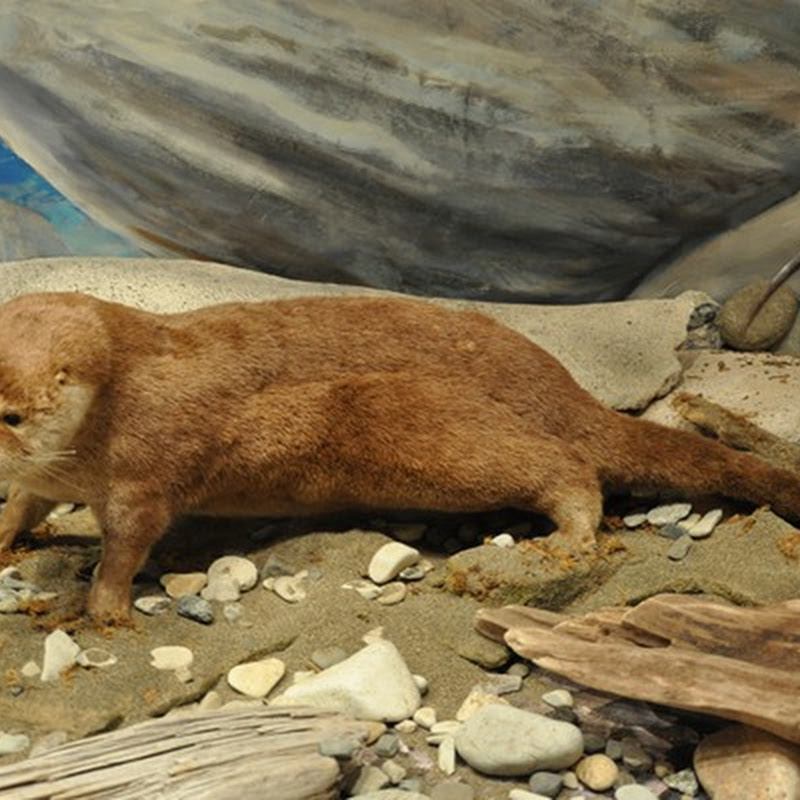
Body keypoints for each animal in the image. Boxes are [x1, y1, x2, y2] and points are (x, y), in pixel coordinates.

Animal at [0, 290, 792, 620]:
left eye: (9, 412)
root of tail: (563, 390)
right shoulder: (50, 477)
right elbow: (26, 502)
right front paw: (8, 540)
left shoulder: (149, 461)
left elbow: (130, 539)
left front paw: (104, 608)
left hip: (437, 439)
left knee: (567, 469)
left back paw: (565, 541)